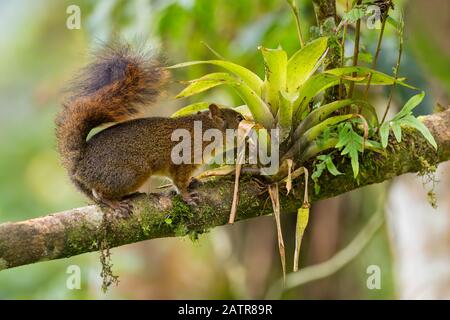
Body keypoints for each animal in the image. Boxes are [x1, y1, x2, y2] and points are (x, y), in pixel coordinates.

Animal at [57, 42, 246, 212]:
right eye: (239, 118)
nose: (249, 124)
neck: (207, 128)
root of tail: (79, 164)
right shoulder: (184, 158)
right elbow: (179, 182)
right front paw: (187, 196)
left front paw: (192, 182)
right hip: (130, 172)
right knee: (99, 194)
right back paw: (114, 203)